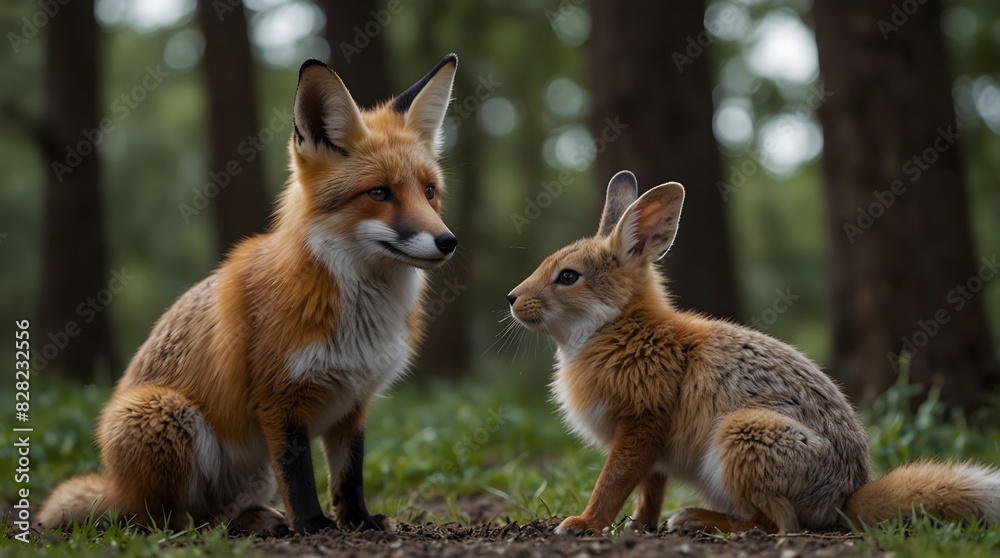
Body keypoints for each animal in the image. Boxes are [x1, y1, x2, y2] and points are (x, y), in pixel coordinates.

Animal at [38, 54, 460, 535]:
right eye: (379, 193)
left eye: (429, 192)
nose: (448, 242)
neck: (359, 317)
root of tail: (113, 485)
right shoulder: (279, 400)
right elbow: (299, 476)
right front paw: (313, 526)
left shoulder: (353, 404)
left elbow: (349, 476)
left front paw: (358, 522)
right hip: (164, 416)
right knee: (163, 519)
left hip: (251, 469)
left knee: (215, 512)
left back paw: (253, 520)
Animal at [507, 170, 1000, 534]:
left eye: (568, 277)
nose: (511, 298)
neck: (620, 327)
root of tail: (842, 499)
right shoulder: (649, 446)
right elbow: (650, 489)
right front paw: (637, 526)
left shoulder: (641, 424)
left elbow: (613, 481)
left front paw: (584, 524)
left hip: (742, 435)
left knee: (776, 523)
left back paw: (695, 520)